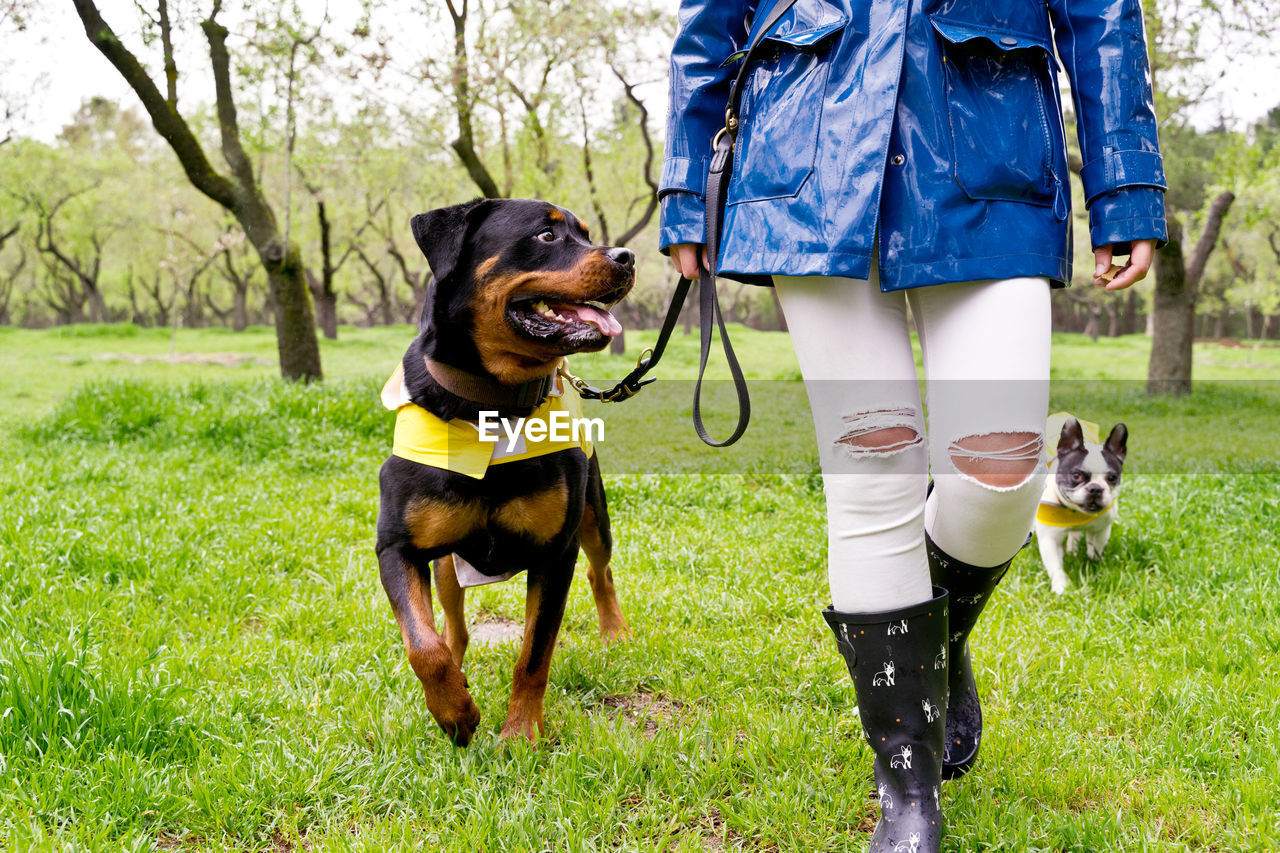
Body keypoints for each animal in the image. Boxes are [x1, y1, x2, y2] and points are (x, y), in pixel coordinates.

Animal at [376, 195, 637, 742]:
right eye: (546, 235)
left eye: (587, 233)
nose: (626, 256)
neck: (491, 404)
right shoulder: (397, 547)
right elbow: (423, 645)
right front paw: (455, 713)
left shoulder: (554, 554)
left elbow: (534, 654)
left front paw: (519, 734)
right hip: (447, 562)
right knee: (451, 623)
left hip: (593, 513)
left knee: (600, 570)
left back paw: (615, 633)